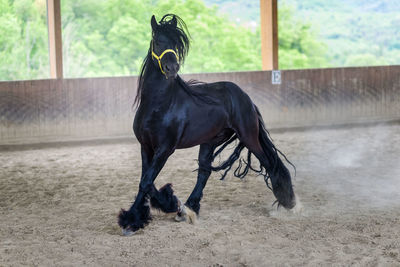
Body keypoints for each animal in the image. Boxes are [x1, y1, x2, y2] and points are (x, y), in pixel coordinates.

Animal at [117, 15, 296, 237]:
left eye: (176, 44)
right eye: (157, 41)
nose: (172, 68)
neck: (159, 104)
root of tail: (245, 97)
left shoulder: (165, 149)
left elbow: (146, 181)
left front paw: (134, 219)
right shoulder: (146, 147)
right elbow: (146, 180)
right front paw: (158, 208)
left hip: (248, 136)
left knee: (269, 163)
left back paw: (288, 202)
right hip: (210, 141)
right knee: (204, 172)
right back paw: (188, 208)